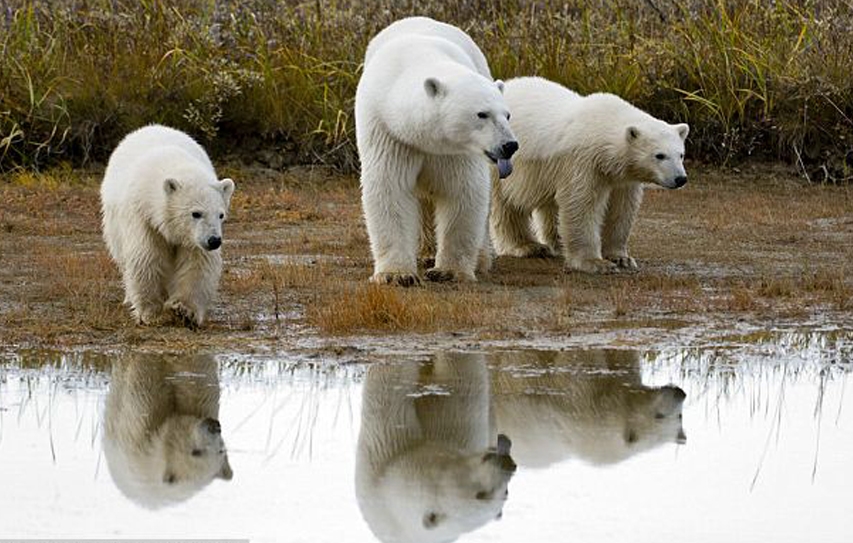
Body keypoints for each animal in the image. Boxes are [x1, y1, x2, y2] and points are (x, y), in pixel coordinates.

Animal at [100, 124, 235, 327]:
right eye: (196, 213)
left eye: (221, 215)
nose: (214, 240)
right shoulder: (143, 218)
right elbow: (147, 256)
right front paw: (150, 313)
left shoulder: (192, 239)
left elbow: (197, 263)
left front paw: (184, 310)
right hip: (114, 225)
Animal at [355, 17, 518, 286]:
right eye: (481, 114)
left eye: (507, 115)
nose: (509, 145)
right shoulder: (389, 133)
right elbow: (390, 189)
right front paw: (396, 275)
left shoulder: (454, 151)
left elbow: (462, 191)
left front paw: (448, 271)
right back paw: (424, 252)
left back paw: (480, 259)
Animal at [355, 352, 516, 543]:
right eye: (481, 494)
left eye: (505, 492)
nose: (508, 463)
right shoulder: (386, 443)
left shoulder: (460, 433)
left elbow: (461, 380)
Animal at [490, 76, 689, 274]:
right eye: (659, 155)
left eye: (681, 154)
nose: (680, 179)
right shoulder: (583, 163)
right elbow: (581, 204)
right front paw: (595, 263)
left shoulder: (621, 178)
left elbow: (622, 209)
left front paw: (622, 258)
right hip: (503, 161)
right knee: (506, 204)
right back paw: (529, 246)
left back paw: (556, 244)